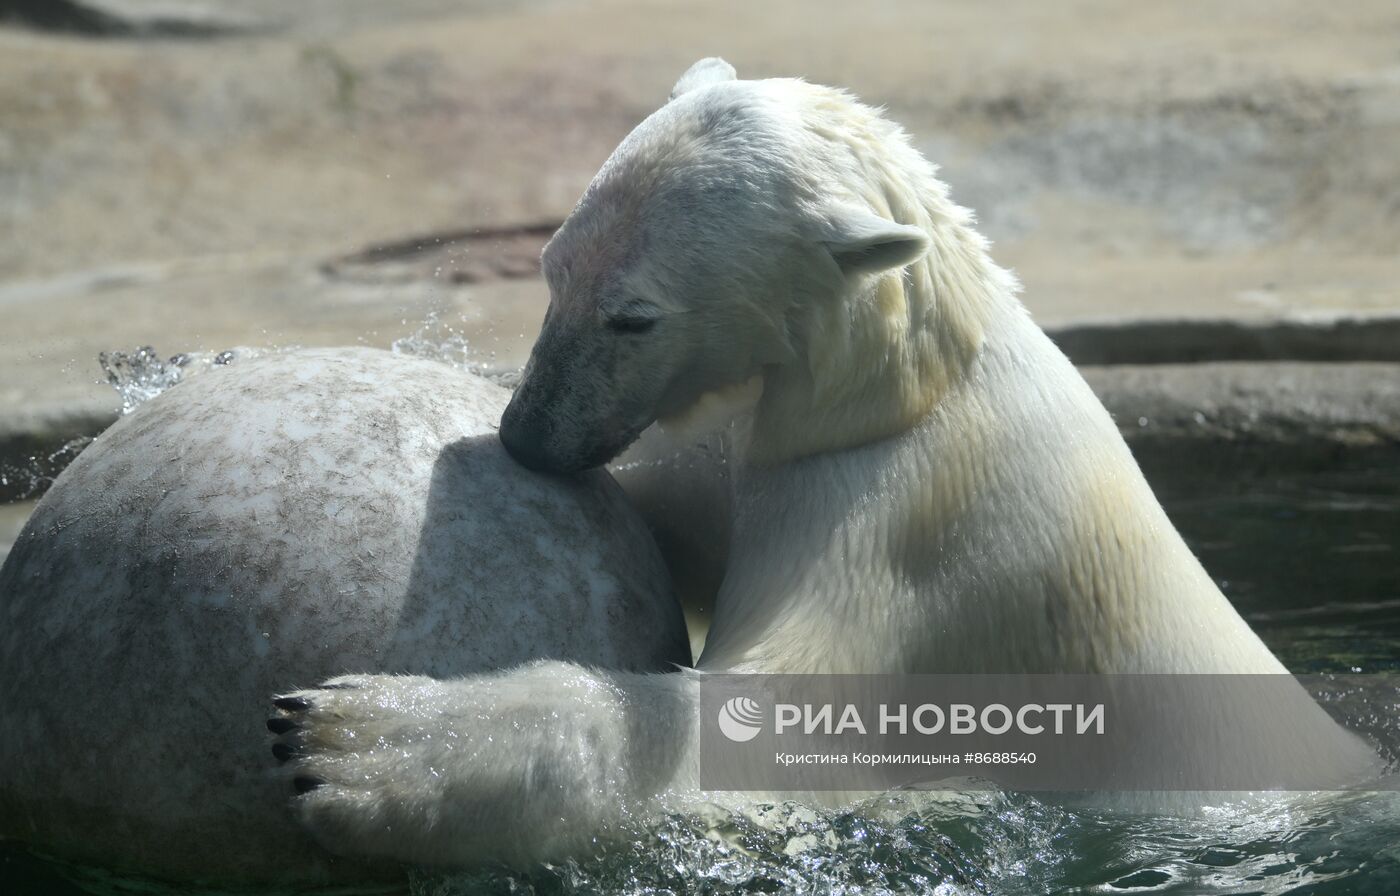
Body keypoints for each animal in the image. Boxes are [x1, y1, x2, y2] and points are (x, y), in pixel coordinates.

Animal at [270, 57, 1377, 868]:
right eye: (550, 269)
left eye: (634, 316)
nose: (526, 435)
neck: (916, 381)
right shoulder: (763, 450)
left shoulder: (908, 532)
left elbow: (770, 731)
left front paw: (351, 740)